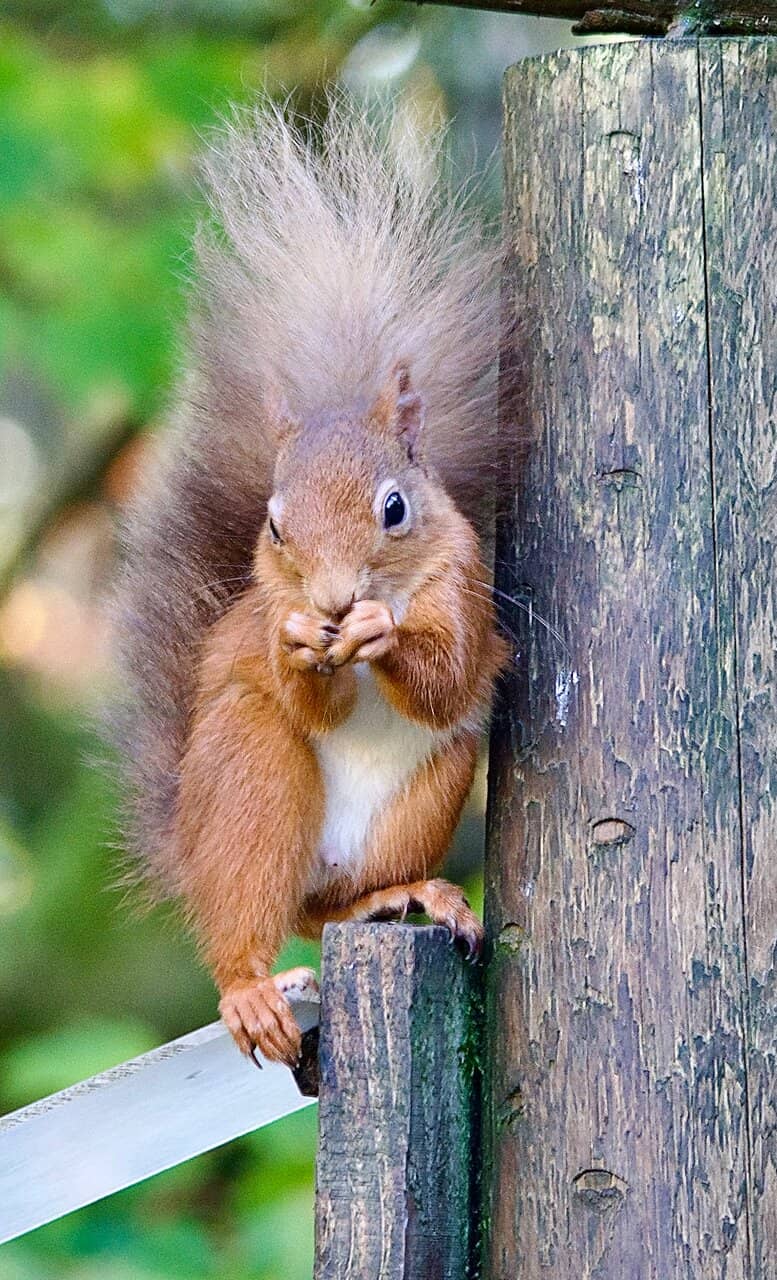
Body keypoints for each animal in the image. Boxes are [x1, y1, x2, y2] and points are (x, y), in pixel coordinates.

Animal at [113, 92, 509, 1067]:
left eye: (395, 508)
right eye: (274, 526)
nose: (332, 602)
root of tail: (188, 850)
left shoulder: (466, 588)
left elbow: (447, 676)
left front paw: (385, 633)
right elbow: (307, 690)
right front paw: (303, 643)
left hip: (428, 790)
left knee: (327, 906)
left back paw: (408, 895)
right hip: (252, 778)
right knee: (255, 922)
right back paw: (250, 989)